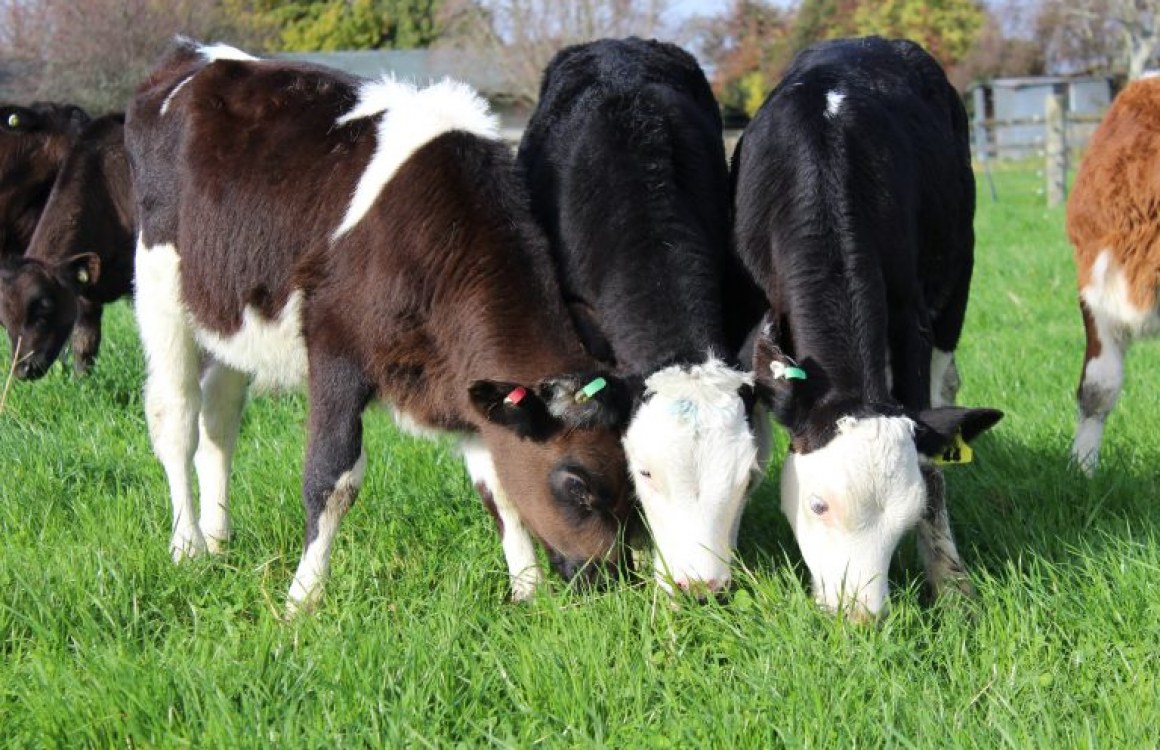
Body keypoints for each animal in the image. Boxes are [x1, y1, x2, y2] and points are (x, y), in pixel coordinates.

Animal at [125, 38, 638, 612]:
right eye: (577, 486)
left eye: (632, 488)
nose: (613, 581)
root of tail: (198, 52)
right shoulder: (336, 351)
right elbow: (332, 477)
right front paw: (302, 598)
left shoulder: (465, 378)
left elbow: (498, 487)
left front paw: (526, 589)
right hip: (159, 284)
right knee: (175, 418)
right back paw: (187, 546)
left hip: (230, 309)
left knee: (220, 417)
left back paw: (218, 539)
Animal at [732, 36, 1003, 619]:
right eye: (818, 505)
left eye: (907, 516)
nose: (859, 617)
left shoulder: (911, 318)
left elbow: (932, 461)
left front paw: (950, 582)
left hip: (957, 278)